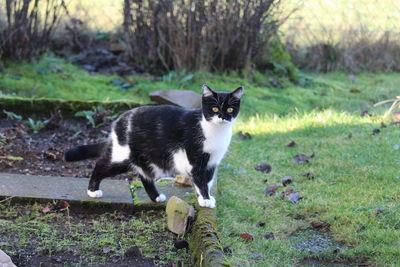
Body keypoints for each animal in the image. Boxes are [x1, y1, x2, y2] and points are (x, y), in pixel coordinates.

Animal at [64, 86, 242, 209]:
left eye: (230, 109)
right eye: (214, 108)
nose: (222, 117)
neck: (214, 130)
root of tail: (118, 122)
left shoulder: (212, 161)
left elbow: (208, 180)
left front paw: (206, 198)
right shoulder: (196, 159)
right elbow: (200, 180)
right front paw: (205, 200)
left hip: (149, 159)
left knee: (145, 175)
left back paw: (156, 197)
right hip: (123, 155)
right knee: (100, 165)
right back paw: (92, 191)